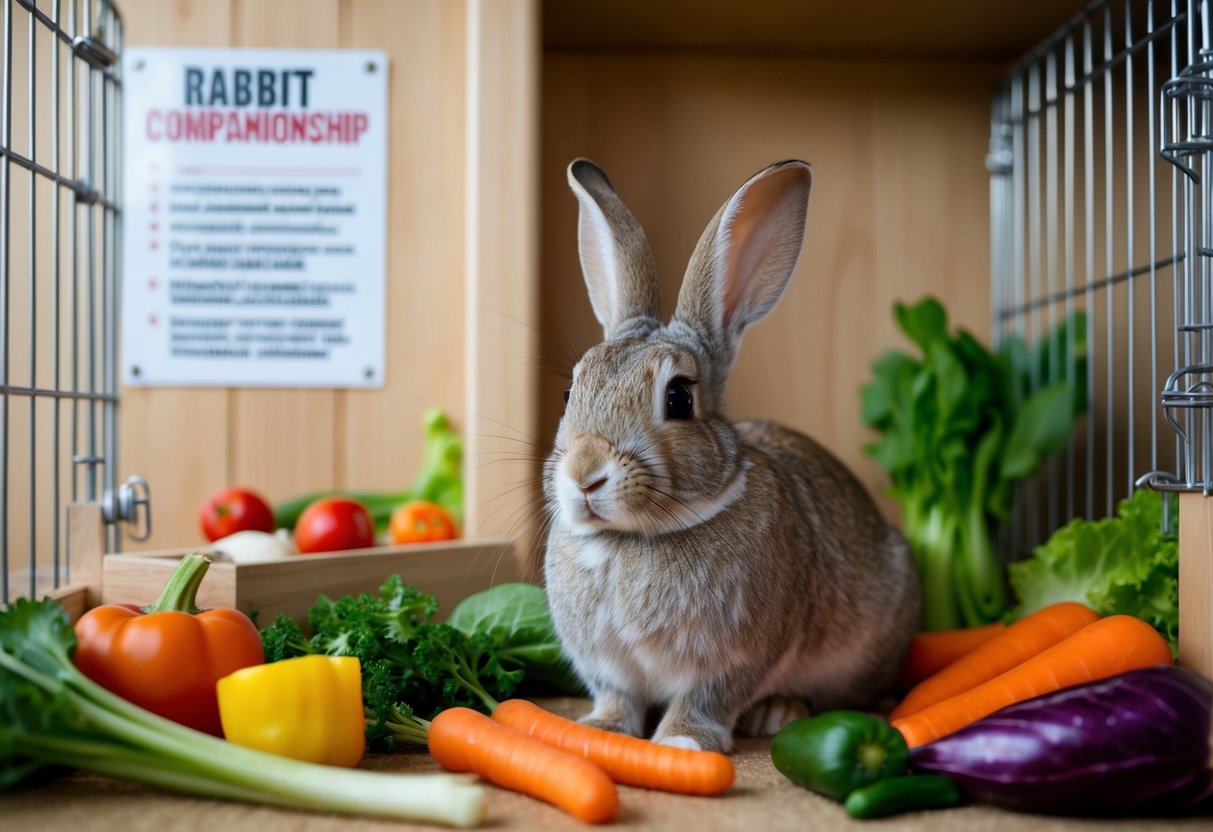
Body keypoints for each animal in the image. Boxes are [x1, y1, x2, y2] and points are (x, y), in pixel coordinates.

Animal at [542, 158, 921, 754]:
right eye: (569, 392)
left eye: (678, 398)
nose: (584, 475)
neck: (633, 539)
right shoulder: (609, 667)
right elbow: (618, 698)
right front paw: (596, 730)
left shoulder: (736, 659)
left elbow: (707, 699)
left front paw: (682, 743)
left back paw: (778, 711)